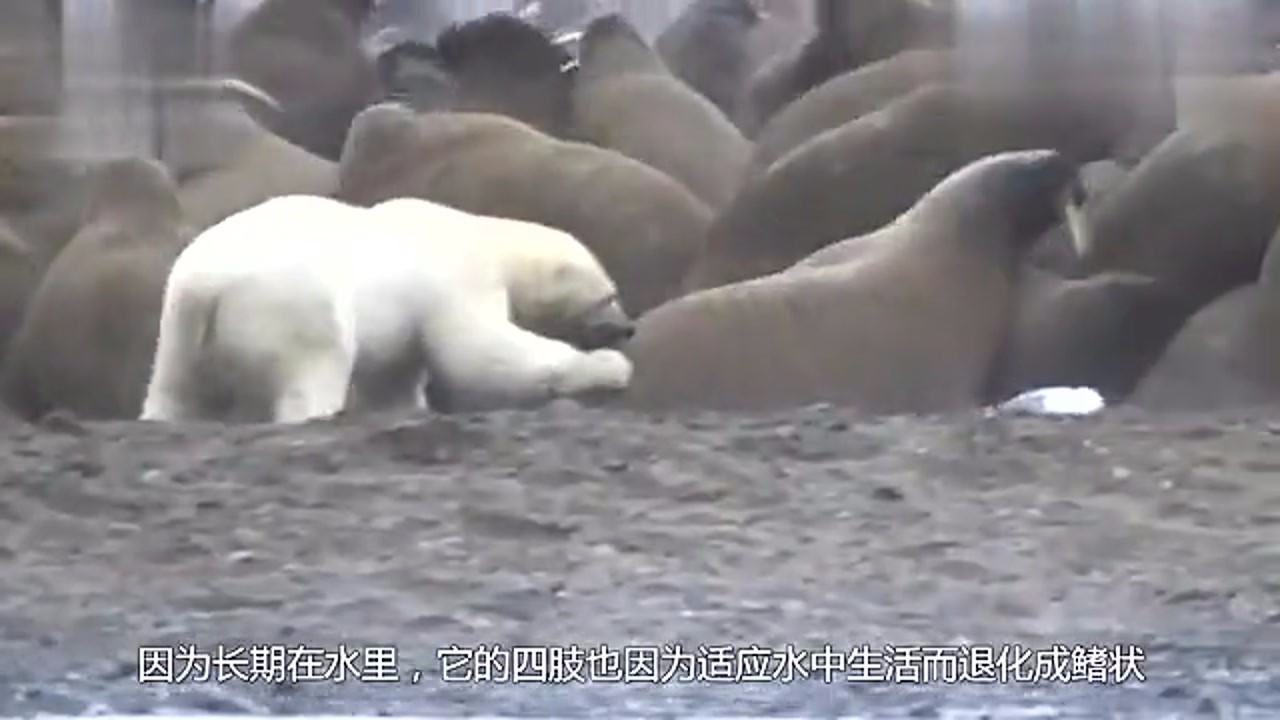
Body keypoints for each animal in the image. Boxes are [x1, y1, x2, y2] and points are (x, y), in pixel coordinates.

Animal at [140, 193, 634, 422]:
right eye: (608, 295)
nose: (626, 328)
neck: (489, 237)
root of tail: (207, 286)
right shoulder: (459, 276)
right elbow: (479, 353)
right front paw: (609, 368)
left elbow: (392, 379)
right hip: (292, 304)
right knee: (313, 370)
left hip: (179, 329)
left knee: (174, 390)